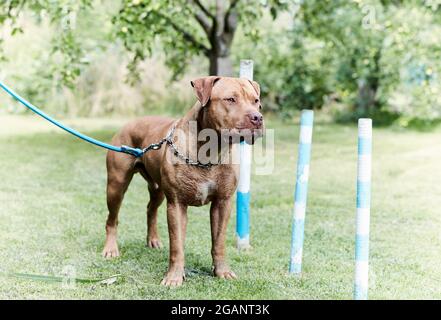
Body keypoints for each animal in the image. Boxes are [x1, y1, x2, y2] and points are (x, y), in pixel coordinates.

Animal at [101, 76, 262, 286]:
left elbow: (219, 242)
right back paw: (110, 249)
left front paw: (222, 271)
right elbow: (177, 245)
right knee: (112, 219)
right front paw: (174, 277)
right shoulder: (177, 204)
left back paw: (153, 240)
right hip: (116, 184)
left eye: (256, 101)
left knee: (151, 209)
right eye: (230, 99)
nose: (258, 118)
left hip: (158, 189)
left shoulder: (222, 202)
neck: (210, 151)